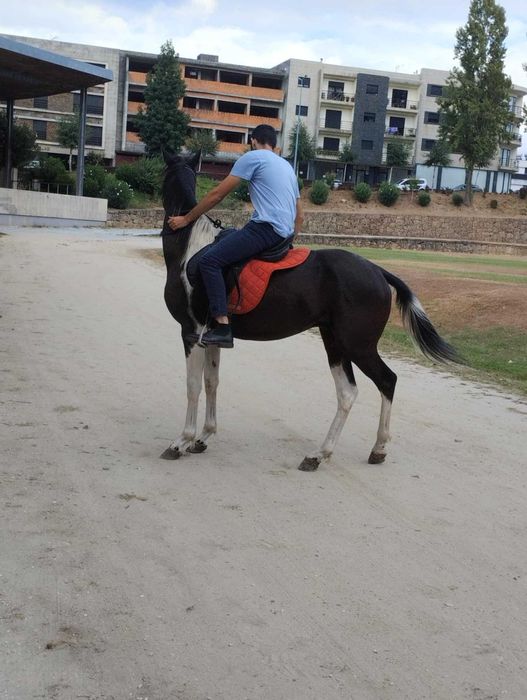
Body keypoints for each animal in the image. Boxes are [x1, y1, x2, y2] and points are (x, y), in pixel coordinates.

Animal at [159, 150, 458, 471]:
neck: (190, 245)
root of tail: (377, 271)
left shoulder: (190, 332)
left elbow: (193, 386)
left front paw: (181, 440)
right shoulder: (210, 337)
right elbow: (212, 382)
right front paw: (204, 436)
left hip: (358, 345)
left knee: (387, 381)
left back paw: (377, 447)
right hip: (335, 342)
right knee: (347, 392)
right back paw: (320, 453)